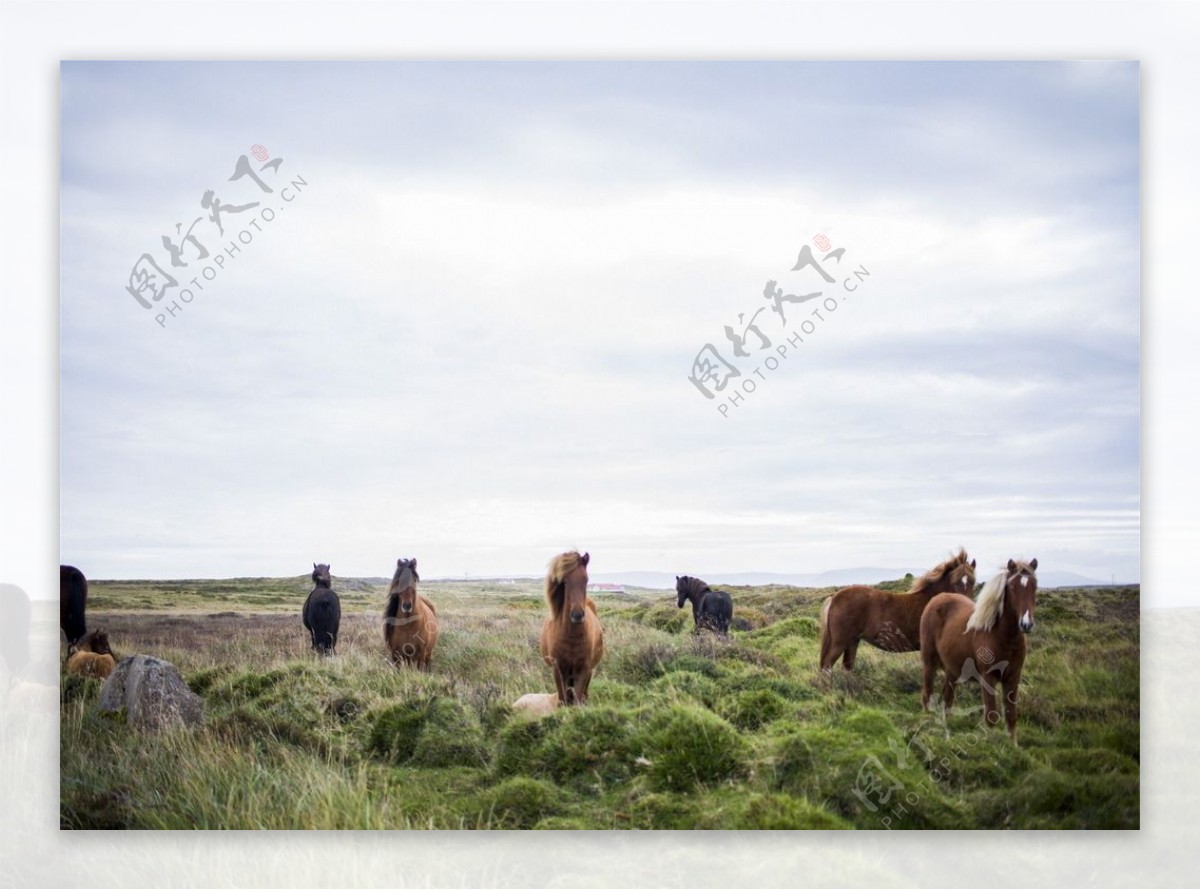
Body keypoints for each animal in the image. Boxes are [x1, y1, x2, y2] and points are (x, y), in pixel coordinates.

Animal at [540, 554, 604, 705]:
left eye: (586, 579)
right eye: (565, 581)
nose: (577, 615)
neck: (571, 637)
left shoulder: (582, 671)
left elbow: (577, 701)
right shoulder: (558, 670)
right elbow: (562, 700)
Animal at [816, 551, 974, 676]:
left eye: (972, 581)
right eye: (955, 581)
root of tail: (834, 597)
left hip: (852, 641)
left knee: (846, 667)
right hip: (840, 642)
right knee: (827, 666)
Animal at [921, 556, 1036, 743]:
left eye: (1034, 586)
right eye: (1012, 587)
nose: (1026, 624)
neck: (1002, 636)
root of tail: (937, 599)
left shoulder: (1013, 677)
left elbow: (1011, 715)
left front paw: (1013, 746)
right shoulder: (988, 678)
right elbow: (991, 716)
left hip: (953, 669)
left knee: (947, 698)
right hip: (929, 661)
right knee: (927, 691)